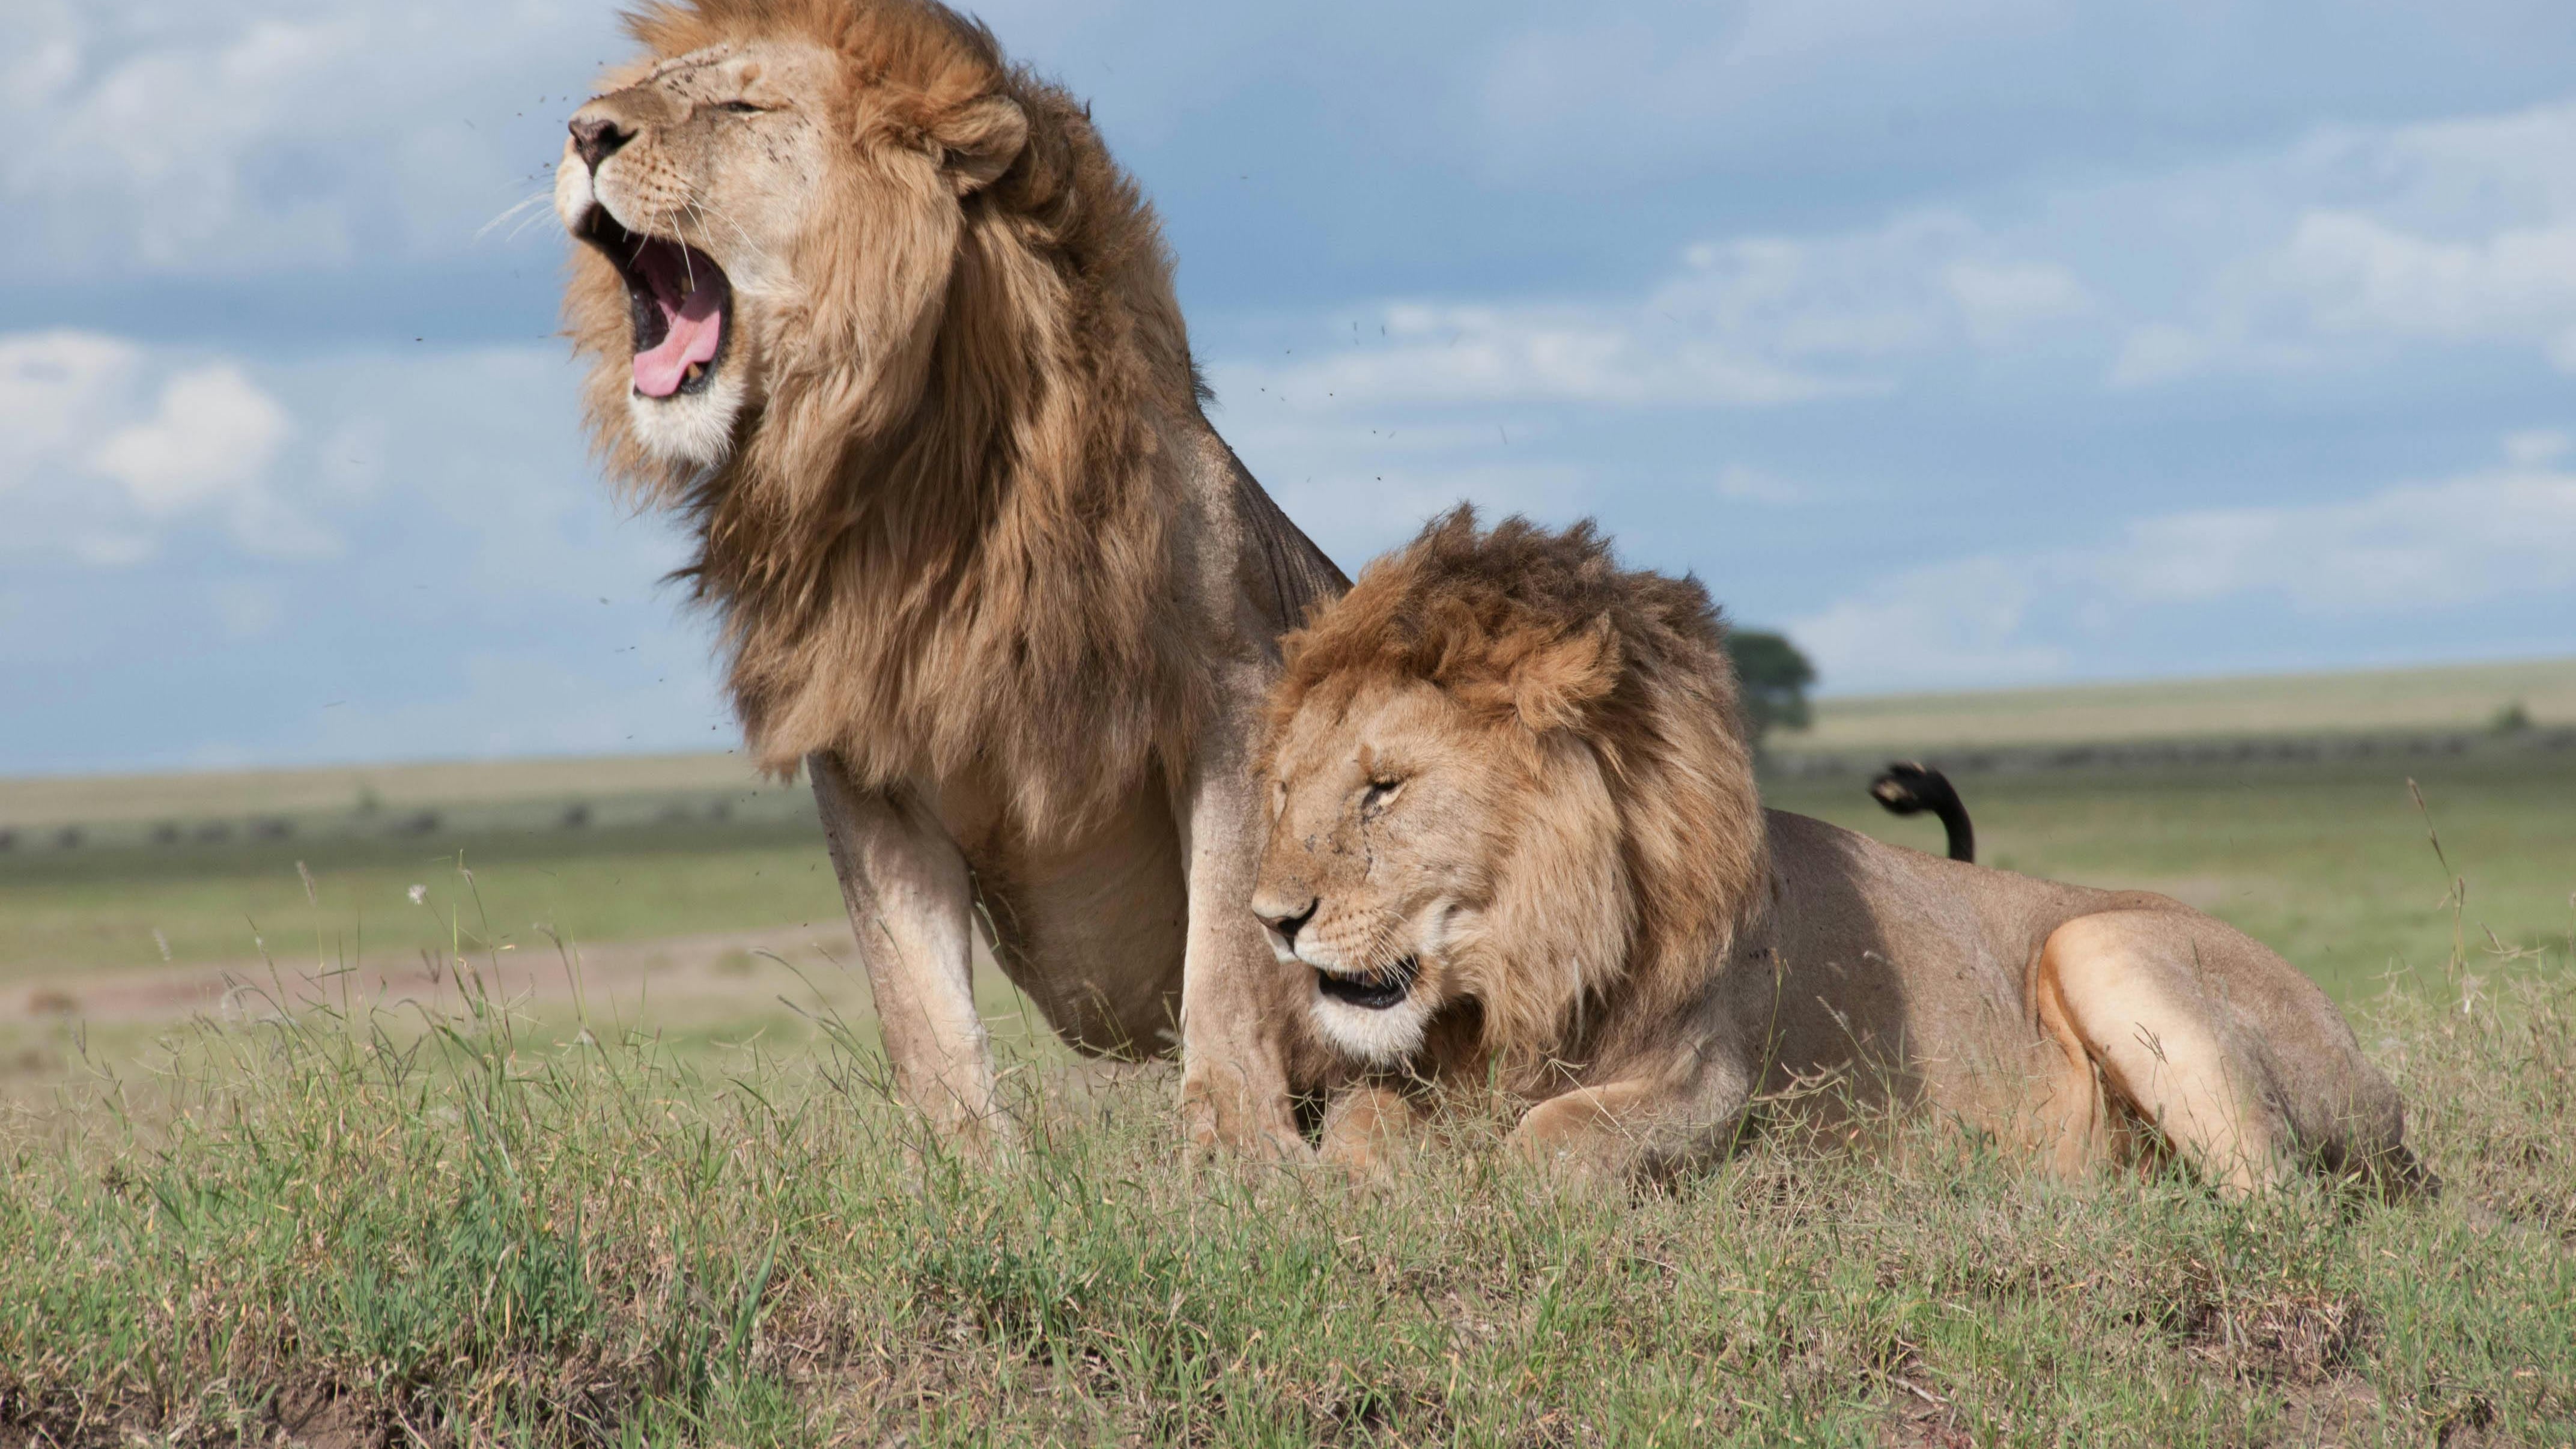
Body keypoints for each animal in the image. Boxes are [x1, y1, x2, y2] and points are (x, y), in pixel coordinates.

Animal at [555, 0, 1346, 1156]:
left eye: (742, 106)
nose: (582, 133)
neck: (911, 484)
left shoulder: (1234, 696)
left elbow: (1229, 955)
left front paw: (1240, 1149)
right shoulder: (861, 746)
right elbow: (915, 997)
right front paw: (965, 1165)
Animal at [1250, 510, 2417, 1193]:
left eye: (1384, 789)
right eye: (1285, 789)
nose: (1270, 922)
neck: (1520, 973)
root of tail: (2383, 1093)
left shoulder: (1709, 1084)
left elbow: (1552, 1141)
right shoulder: (1408, 1073)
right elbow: (1359, 1125)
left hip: (2102, 944)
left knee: (2279, 1205)